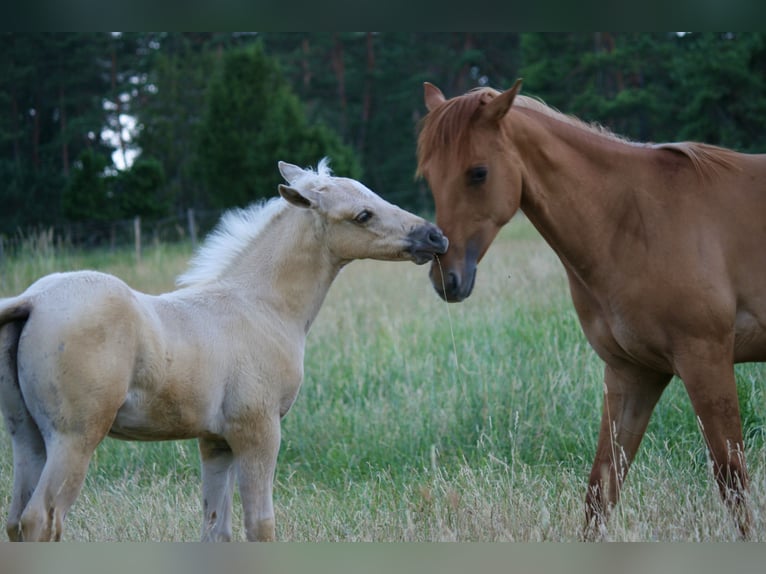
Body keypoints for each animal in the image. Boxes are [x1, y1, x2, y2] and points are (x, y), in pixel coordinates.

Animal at [0, 158, 448, 542]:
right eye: (362, 215)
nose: (435, 236)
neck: (261, 305)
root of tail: (32, 299)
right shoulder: (258, 431)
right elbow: (260, 524)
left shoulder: (215, 442)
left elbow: (217, 529)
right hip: (74, 437)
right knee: (40, 519)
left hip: (28, 437)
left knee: (16, 521)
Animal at [417, 79, 766, 539]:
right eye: (429, 176)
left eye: (478, 172)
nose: (447, 279)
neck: (635, 221)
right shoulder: (632, 373)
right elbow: (602, 488)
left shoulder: (705, 360)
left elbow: (733, 481)